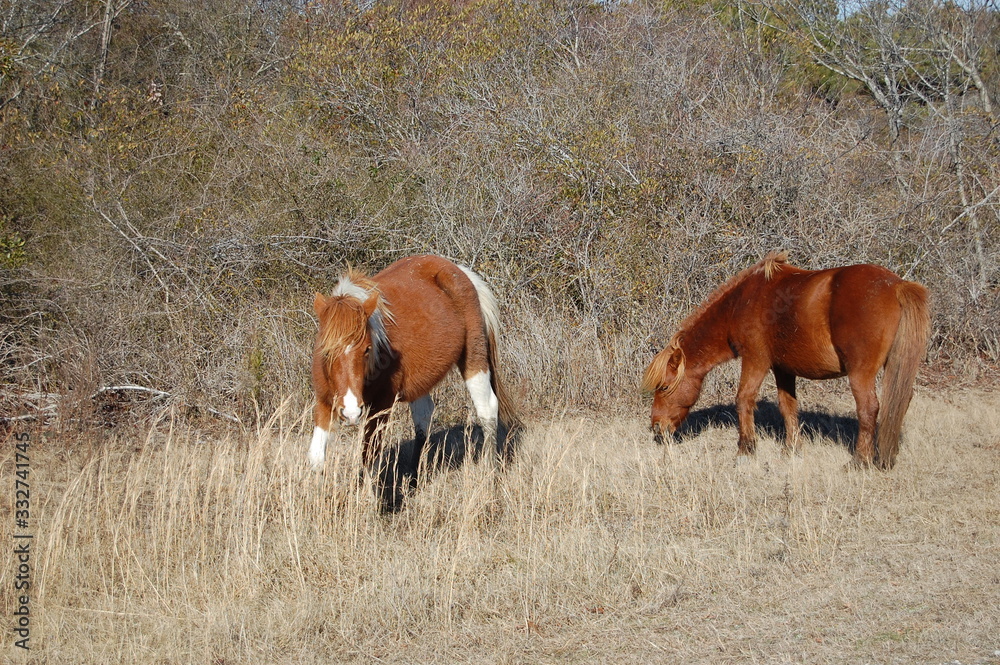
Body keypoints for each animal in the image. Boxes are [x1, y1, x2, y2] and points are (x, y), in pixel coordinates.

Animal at [310, 254, 520, 477]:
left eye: (367, 349)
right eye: (326, 351)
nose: (350, 411)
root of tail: (460, 271)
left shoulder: (380, 407)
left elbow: (370, 460)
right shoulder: (325, 403)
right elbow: (316, 458)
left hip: (474, 357)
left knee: (486, 408)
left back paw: (490, 470)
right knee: (423, 417)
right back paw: (413, 477)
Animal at [641, 251, 930, 469]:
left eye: (664, 387)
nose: (657, 427)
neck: (742, 301)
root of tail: (897, 285)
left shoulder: (756, 360)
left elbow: (744, 399)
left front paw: (746, 450)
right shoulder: (783, 369)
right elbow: (788, 407)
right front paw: (792, 449)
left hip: (861, 373)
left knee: (868, 409)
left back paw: (860, 461)